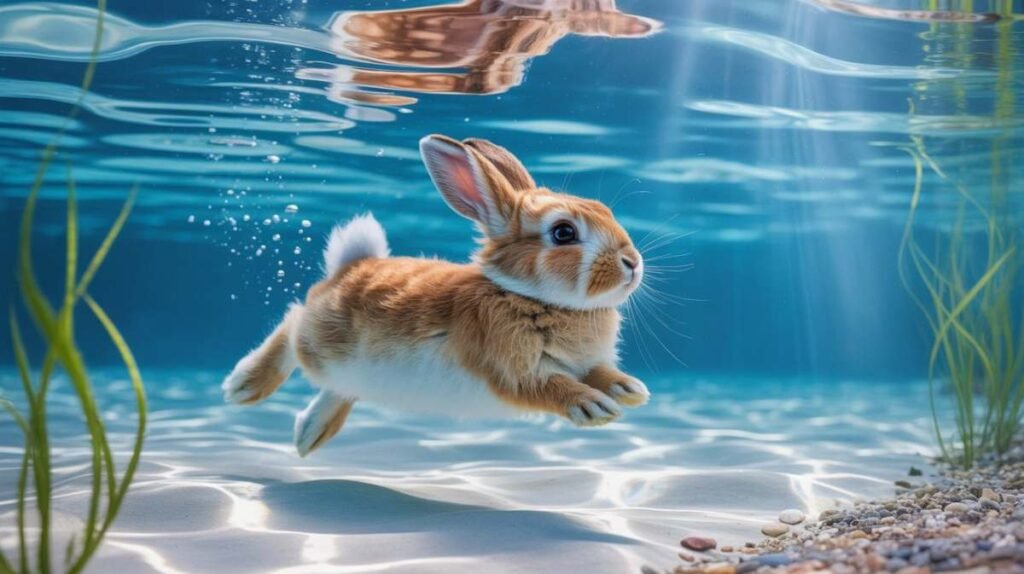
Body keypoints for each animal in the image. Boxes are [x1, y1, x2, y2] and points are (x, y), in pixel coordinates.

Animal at [222, 134, 649, 456]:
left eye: (605, 210)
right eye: (563, 233)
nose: (632, 262)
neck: (531, 297)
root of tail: (350, 267)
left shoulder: (585, 362)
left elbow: (599, 372)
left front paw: (629, 390)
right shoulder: (511, 370)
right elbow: (551, 386)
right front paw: (594, 407)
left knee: (338, 386)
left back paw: (310, 434)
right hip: (320, 340)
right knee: (293, 323)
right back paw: (244, 386)